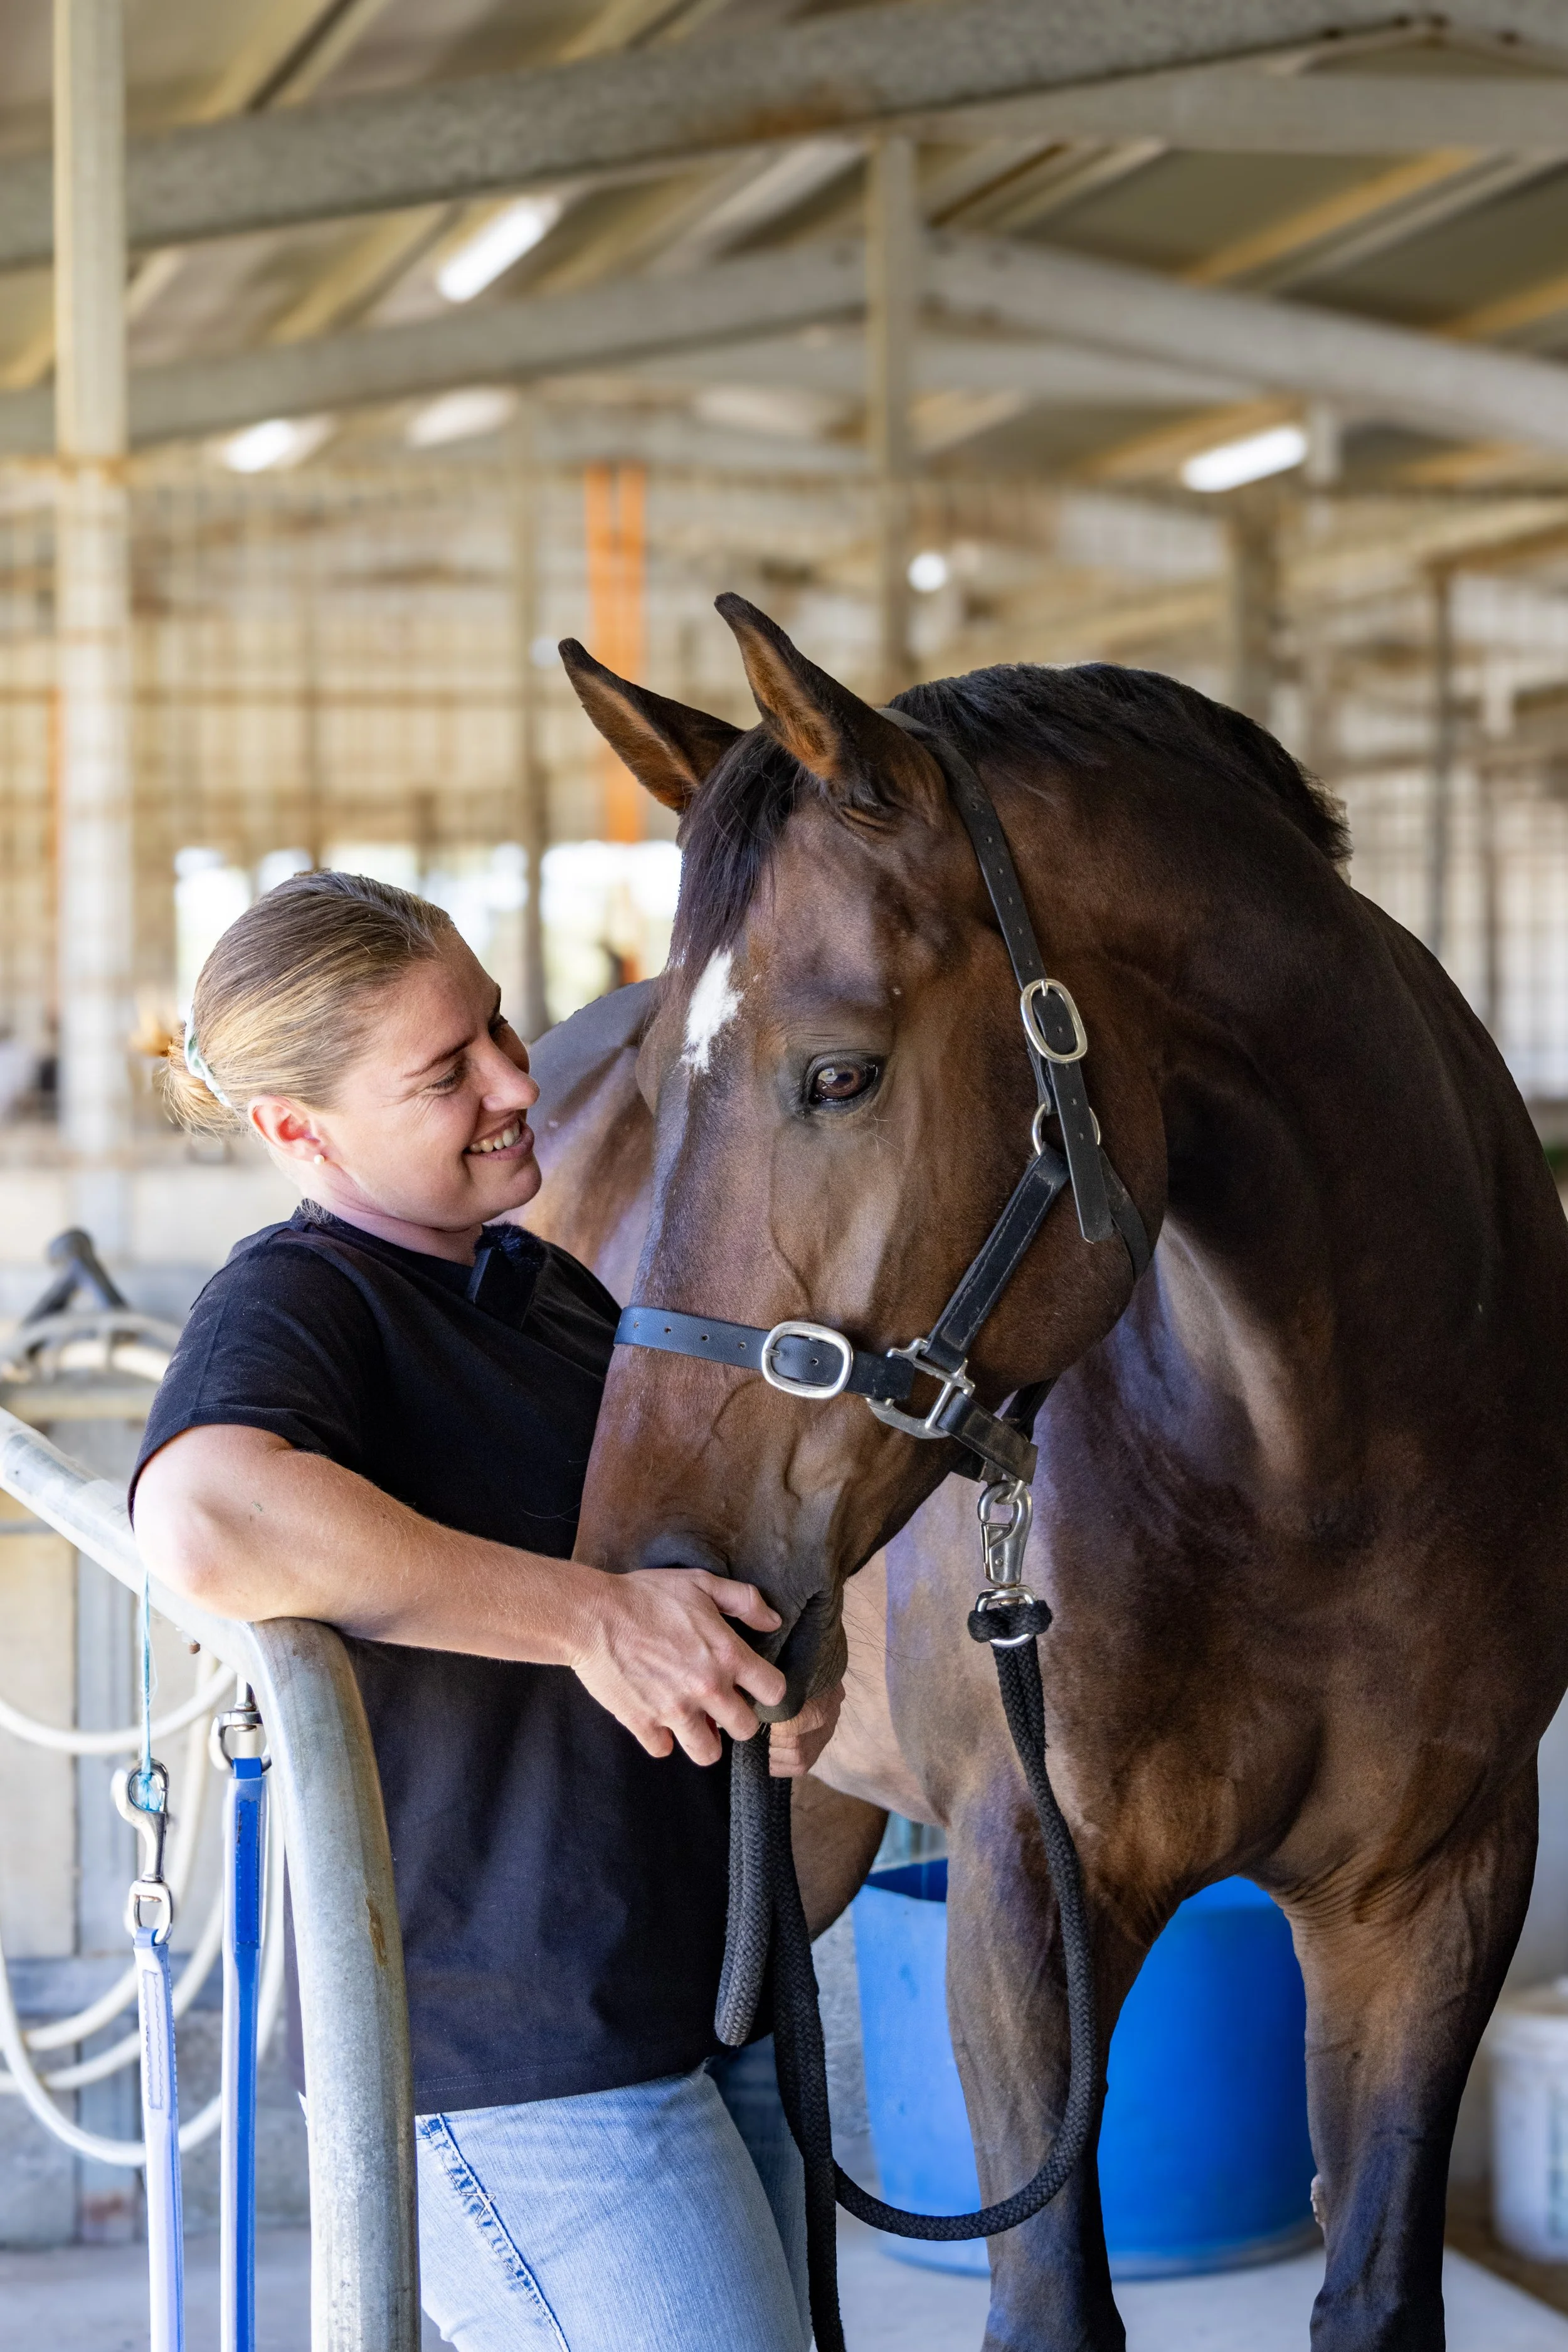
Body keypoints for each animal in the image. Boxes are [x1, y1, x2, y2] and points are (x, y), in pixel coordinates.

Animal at [529, 594, 1568, 2350]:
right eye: (667, 1076)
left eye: (839, 1072)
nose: (638, 1593)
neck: (1309, 1468)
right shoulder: (1026, 1900)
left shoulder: (1432, 1896)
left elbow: (1373, 2289)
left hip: (806, 1813)